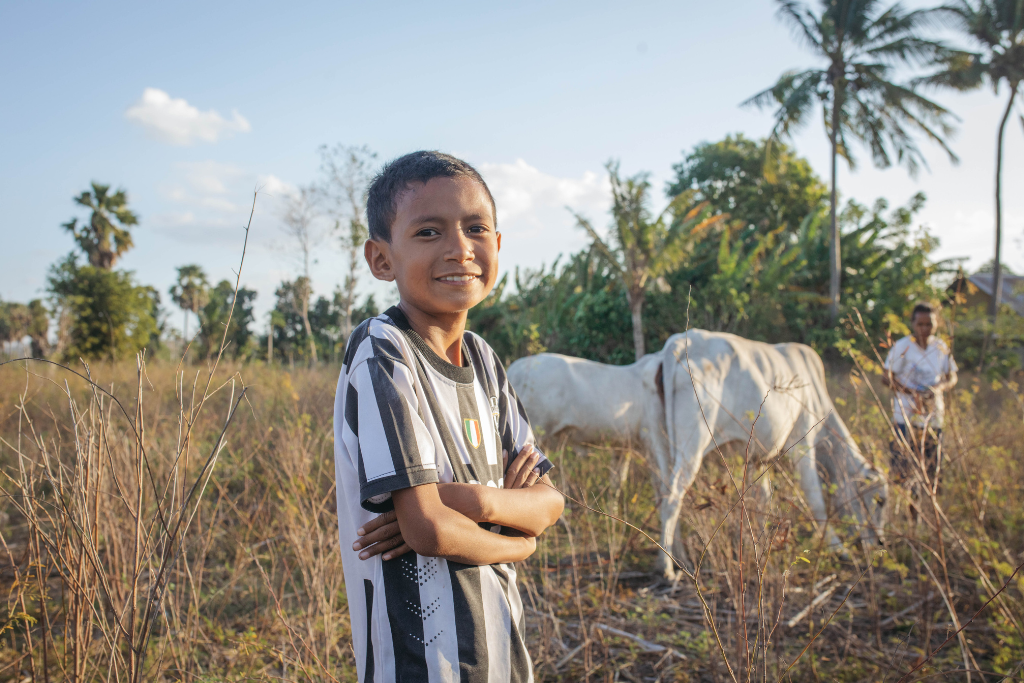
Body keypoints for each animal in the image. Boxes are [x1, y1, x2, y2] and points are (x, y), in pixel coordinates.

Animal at [507, 329, 884, 577]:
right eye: (880, 499)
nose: (877, 543)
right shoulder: (803, 439)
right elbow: (816, 498)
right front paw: (837, 546)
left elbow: (763, 501)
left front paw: (763, 544)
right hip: (691, 439)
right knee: (674, 493)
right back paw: (667, 568)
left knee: (667, 494)